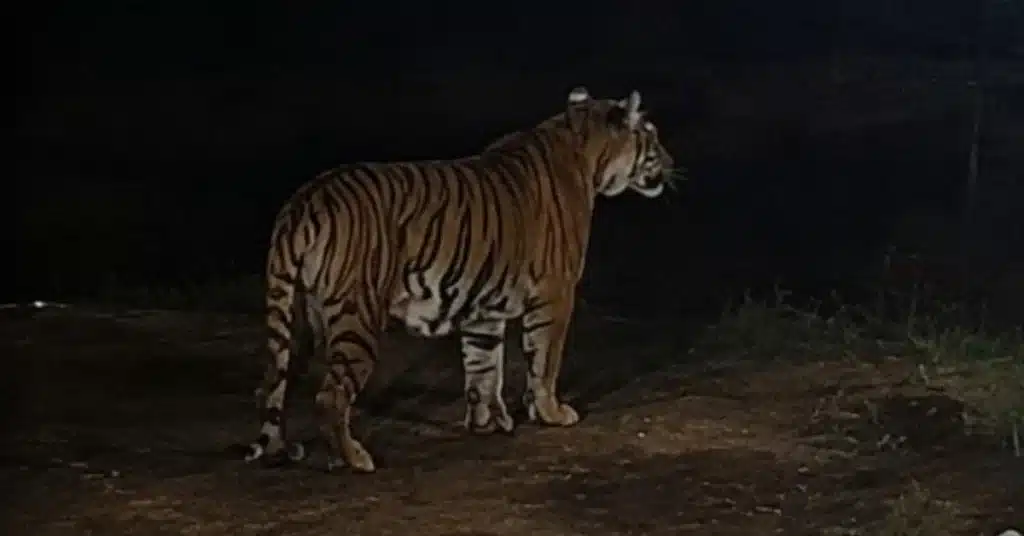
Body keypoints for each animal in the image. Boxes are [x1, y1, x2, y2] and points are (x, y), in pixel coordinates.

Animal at [245, 86, 677, 473]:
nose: (672, 160)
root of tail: (305, 200)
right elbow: (544, 360)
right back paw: (353, 459)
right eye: (652, 134)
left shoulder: (483, 305)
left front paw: (487, 422)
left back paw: (303, 452)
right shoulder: (555, 294)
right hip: (357, 316)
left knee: (275, 383)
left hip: (301, 317)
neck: (584, 147)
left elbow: (483, 366)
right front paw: (552, 412)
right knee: (330, 396)